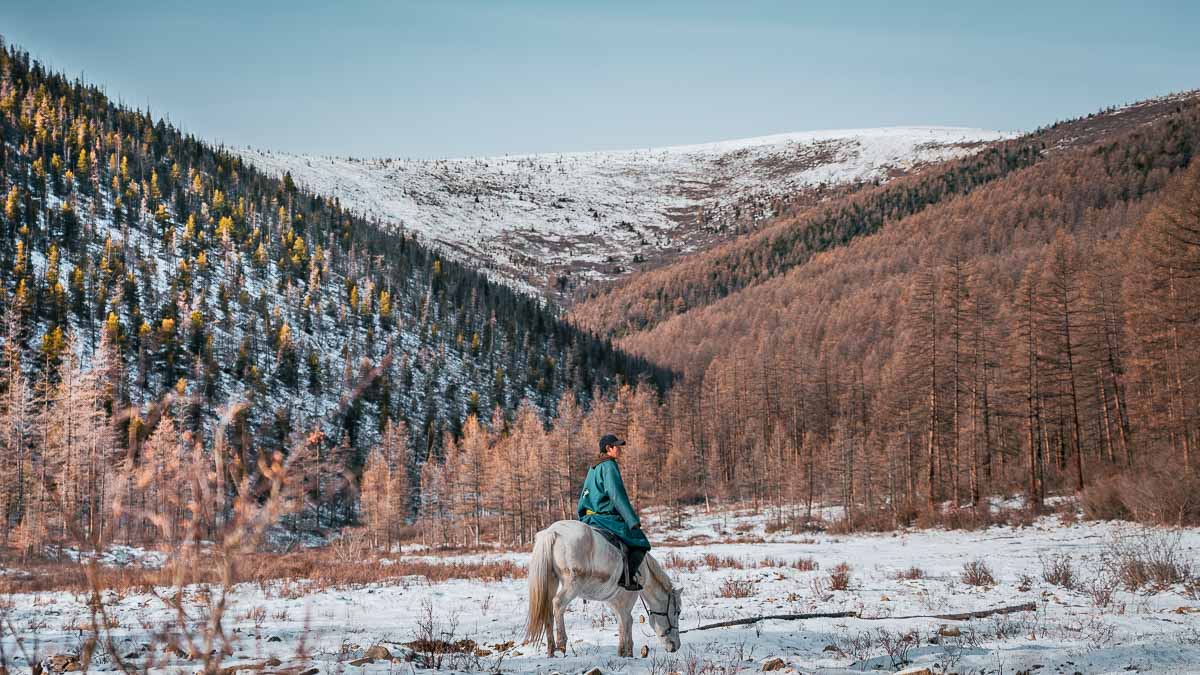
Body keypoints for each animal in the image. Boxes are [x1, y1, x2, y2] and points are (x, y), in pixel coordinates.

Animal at [525, 516, 686, 653]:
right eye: (677, 612)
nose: (676, 646)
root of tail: (552, 532)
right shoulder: (630, 595)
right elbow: (627, 619)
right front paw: (627, 651)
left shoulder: (613, 598)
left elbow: (622, 620)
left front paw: (623, 651)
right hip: (572, 584)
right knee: (558, 604)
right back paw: (561, 643)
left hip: (551, 582)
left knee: (547, 607)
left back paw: (551, 648)